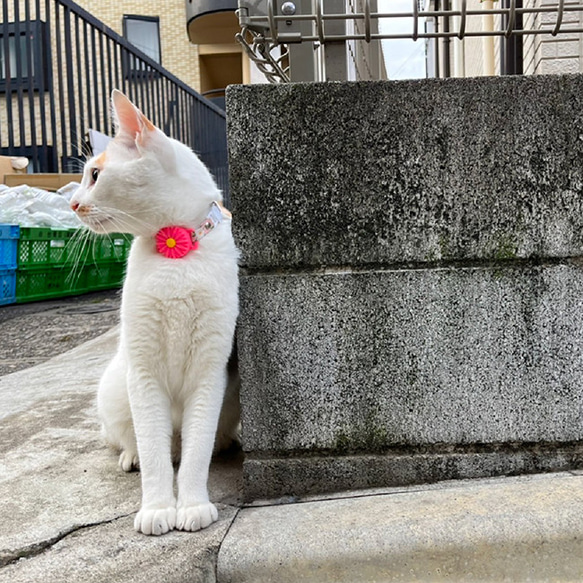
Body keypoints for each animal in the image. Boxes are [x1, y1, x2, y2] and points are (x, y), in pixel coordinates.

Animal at [70, 90, 240, 532]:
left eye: (95, 175)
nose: (73, 203)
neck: (173, 253)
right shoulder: (143, 371)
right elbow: (152, 450)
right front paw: (158, 509)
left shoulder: (210, 372)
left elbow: (196, 451)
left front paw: (192, 505)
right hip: (116, 384)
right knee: (134, 440)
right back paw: (130, 456)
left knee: (193, 446)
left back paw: (223, 445)